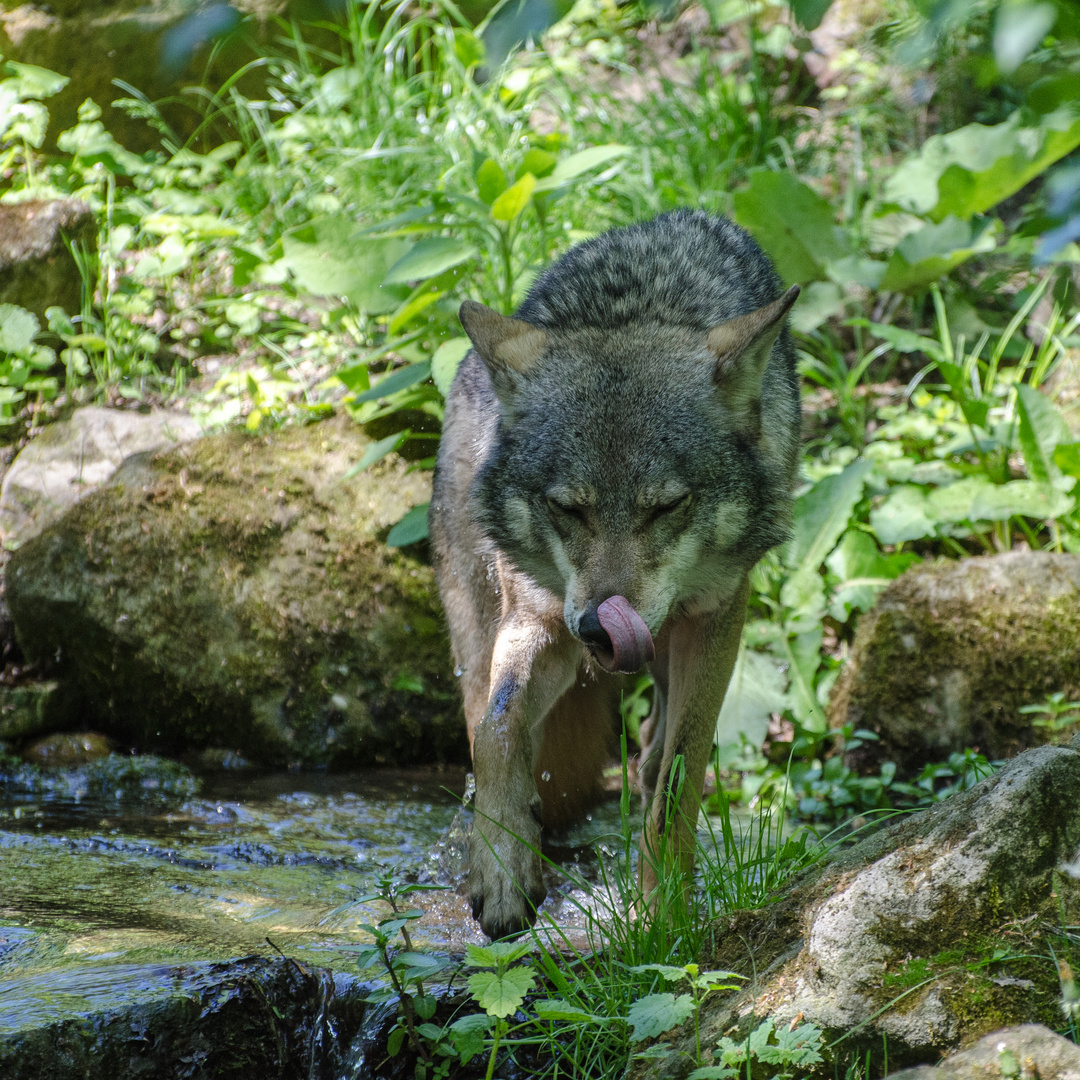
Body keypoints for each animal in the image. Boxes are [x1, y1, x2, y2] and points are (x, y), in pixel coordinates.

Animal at [425, 208, 799, 937]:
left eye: (666, 506)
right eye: (568, 508)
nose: (602, 629)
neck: (634, 306)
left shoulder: (715, 614)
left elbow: (679, 772)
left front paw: (663, 916)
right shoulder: (541, 616)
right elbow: (499, 733)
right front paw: (503, 871)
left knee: (656, 749)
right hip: (478, 625)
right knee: (481, 718)